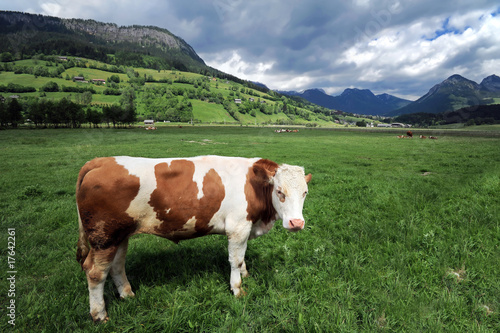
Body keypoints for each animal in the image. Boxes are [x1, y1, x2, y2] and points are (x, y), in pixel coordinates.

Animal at [75, 156, 310, 322]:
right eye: (279, 191)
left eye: (305, 193)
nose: (296, 223)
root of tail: (100, 161)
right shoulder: (238, 227)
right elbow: (235, 260)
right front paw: (237, 289)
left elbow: (242, 258)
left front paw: (245, 274)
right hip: (104, 237)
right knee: (95, 273)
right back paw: (99, 315)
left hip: (119, 235)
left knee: (116, 266)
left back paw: (127, 294)